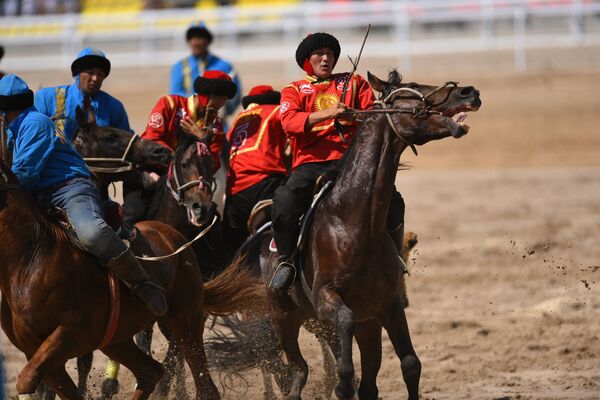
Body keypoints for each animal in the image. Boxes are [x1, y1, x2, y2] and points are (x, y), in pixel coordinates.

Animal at [0, 155, 264, 398]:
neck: (32, 257)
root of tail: (178, 239)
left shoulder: (70, 334)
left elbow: (26, 381)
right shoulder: (36, 351)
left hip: (186, 322)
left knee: (204, 386)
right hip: (117, 341)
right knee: (150, 372)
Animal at [236, 72, 482, 400]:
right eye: (412, 90)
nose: (469, 92)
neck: (352, 223)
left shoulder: (387, 307)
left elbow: (410, 365)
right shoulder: (328, 302)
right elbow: (345, 353)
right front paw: (341, 383)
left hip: (356, 325)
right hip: (283, 318)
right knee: (299, 370)